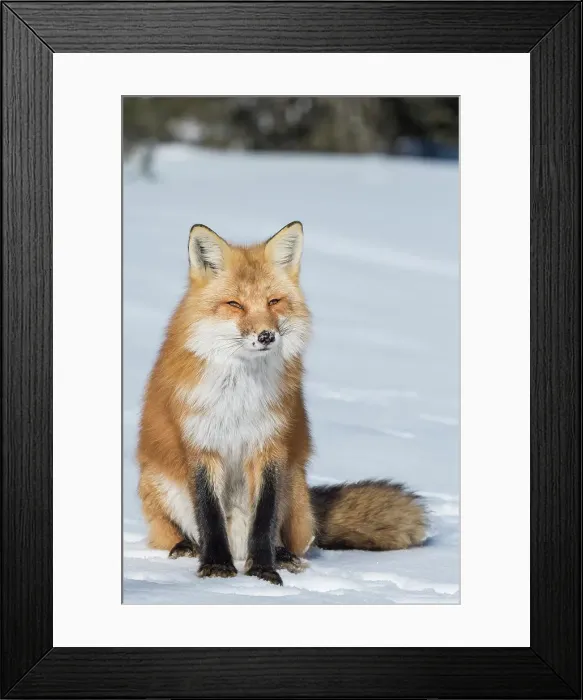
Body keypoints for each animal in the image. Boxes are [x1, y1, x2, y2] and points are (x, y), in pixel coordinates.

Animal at [137, 221, 427, 585]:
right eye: (235, 304)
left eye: (274, 301)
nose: (266, 336)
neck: (239, 396)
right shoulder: (202, 446)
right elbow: (210, 516)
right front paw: (216, 567)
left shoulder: (271, 445)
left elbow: (264, 518)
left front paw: (263, 570)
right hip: (157, 482)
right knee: (170, 532)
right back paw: (185, 547)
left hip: (295, 489)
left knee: (292, 538)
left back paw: (284, 556)